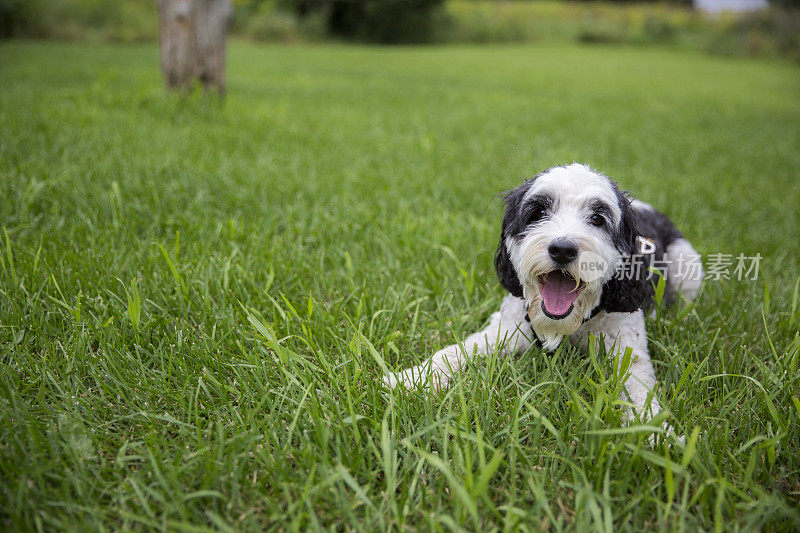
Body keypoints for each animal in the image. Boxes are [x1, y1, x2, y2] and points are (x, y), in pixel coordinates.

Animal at [384, 162, 704, 424]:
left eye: (598, 218)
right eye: (538, 212)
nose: (562, 249)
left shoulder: (626, 346)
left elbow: (638, 390)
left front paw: (654, 434)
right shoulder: (509, 327)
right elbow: (457, 350)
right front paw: (412, 378)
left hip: (687, 264)